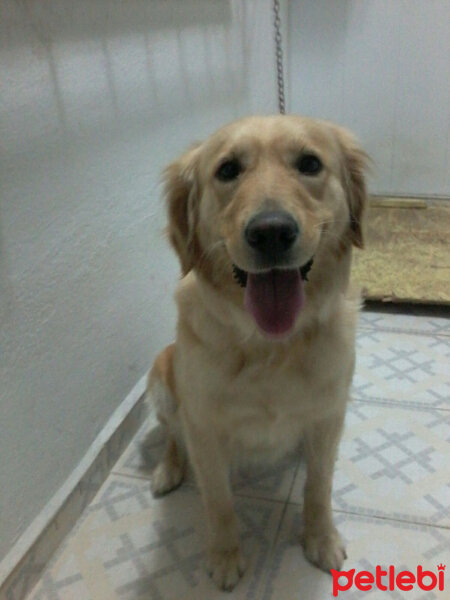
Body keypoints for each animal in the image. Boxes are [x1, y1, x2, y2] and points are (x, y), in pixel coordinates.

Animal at [146, 116, 368, 592]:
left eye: (309, 164)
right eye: (228, 170)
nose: (271, 232)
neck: (271, 345)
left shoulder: (328, 415)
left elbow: (319, 487)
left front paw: (320, 539)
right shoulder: (203, 428)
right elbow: (218, 501)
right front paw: (225, 556)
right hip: (162, 378)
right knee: (172, 435)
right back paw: (167, 470)